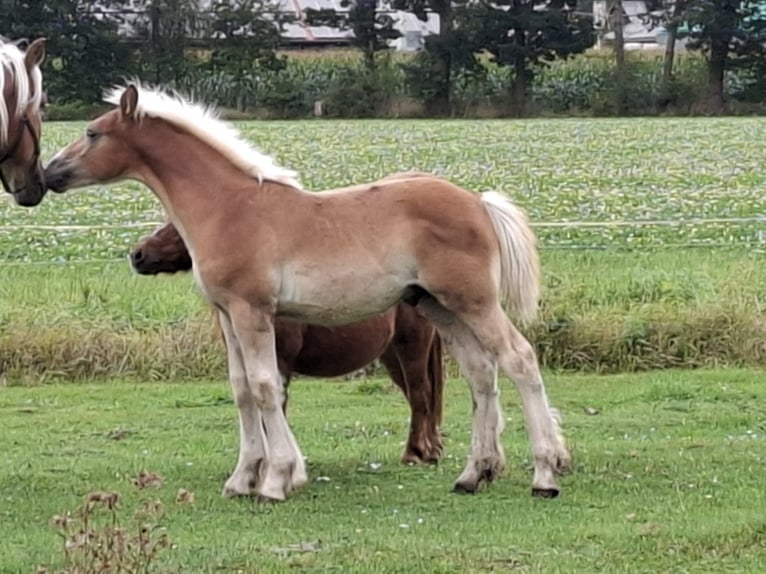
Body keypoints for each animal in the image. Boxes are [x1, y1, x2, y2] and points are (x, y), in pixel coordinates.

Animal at [130, 218, 448, 466]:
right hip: (392, 356)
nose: (137, 254)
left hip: (411, 348)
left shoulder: (279, 363)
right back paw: (430, 450)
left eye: (180, 227)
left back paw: (415, 454)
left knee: (420, 394)